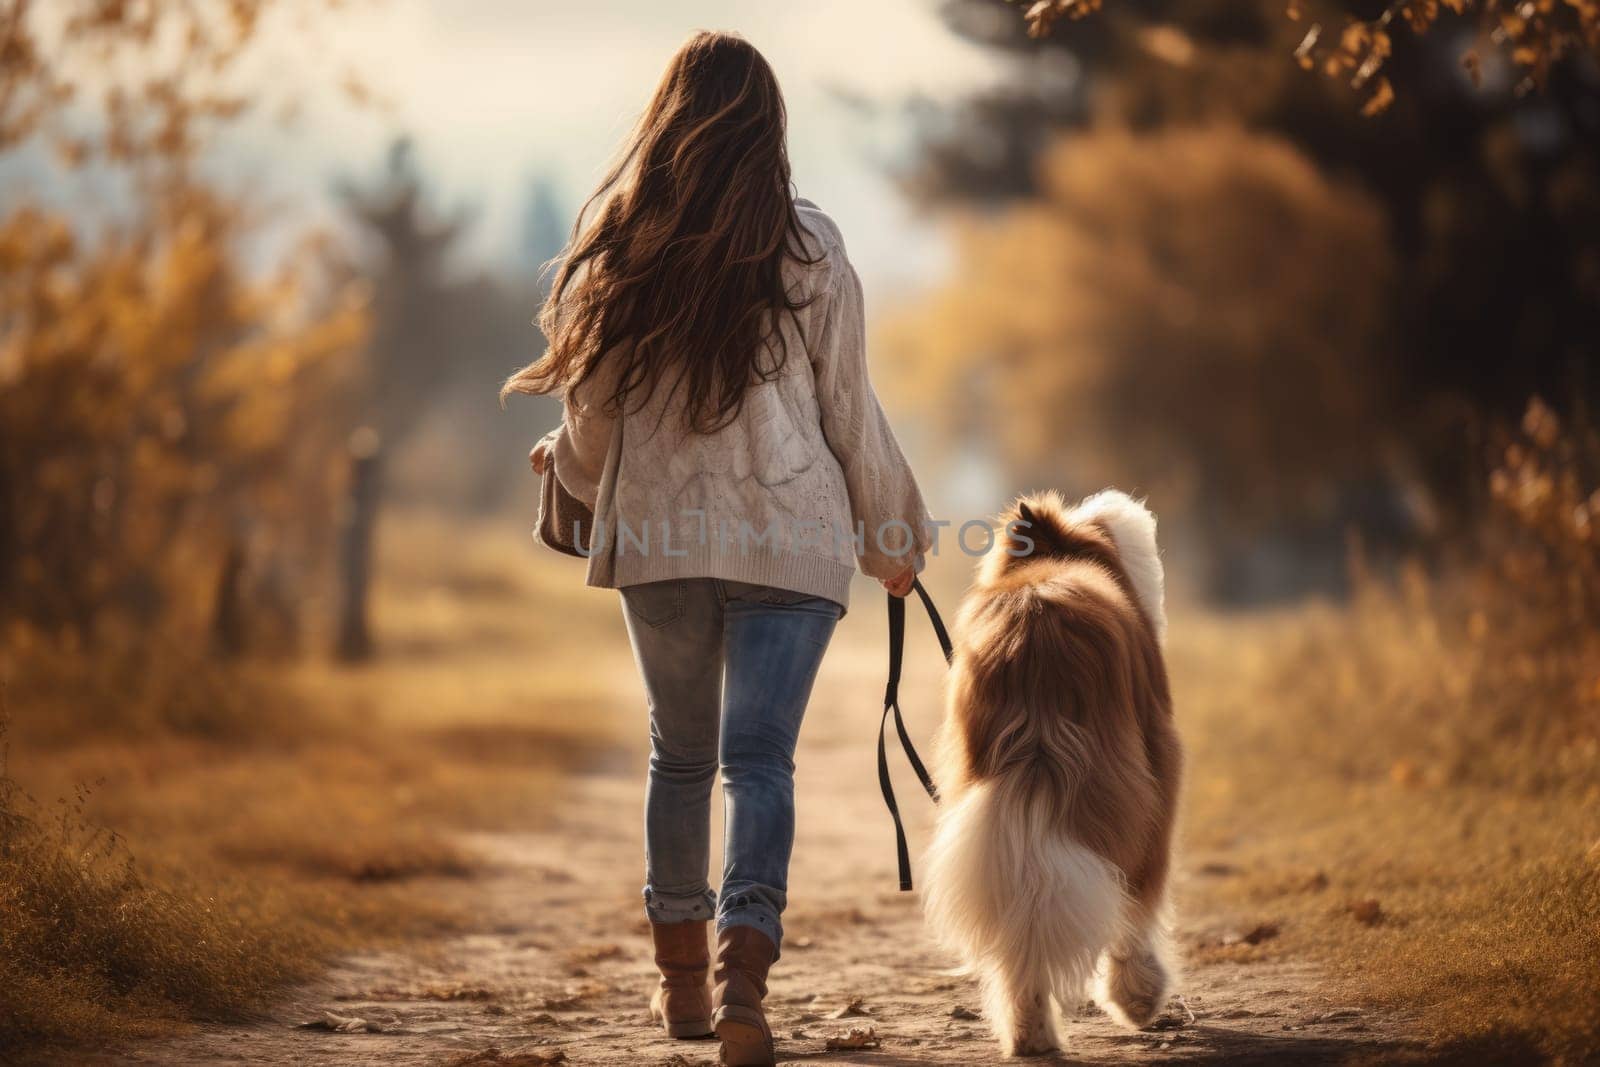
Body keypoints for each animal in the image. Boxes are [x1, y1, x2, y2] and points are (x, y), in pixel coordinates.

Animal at [921, 492, 1184, 1062]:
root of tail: (1031, 624)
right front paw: (1137, 999)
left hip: (985, 790)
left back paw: (1031, 1033)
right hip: (1135, 785)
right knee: (1134, 889)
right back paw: (1136, 997)